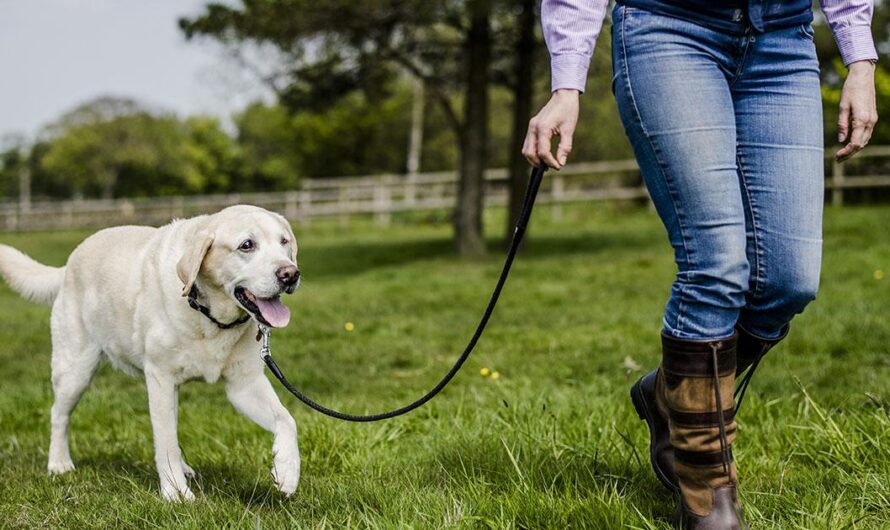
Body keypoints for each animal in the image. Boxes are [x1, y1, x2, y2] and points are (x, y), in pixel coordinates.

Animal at [0, 203, 302, 500]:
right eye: (247, 245)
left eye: (284, 242)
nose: (290, 274)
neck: (208, 316)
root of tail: (68, 264)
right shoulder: (160, 378)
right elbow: (165, 440)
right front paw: (176, 492)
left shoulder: (244, 385)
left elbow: (286, 420)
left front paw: (286, 471)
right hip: (75, 370)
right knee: (58, 415)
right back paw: (59, 463)